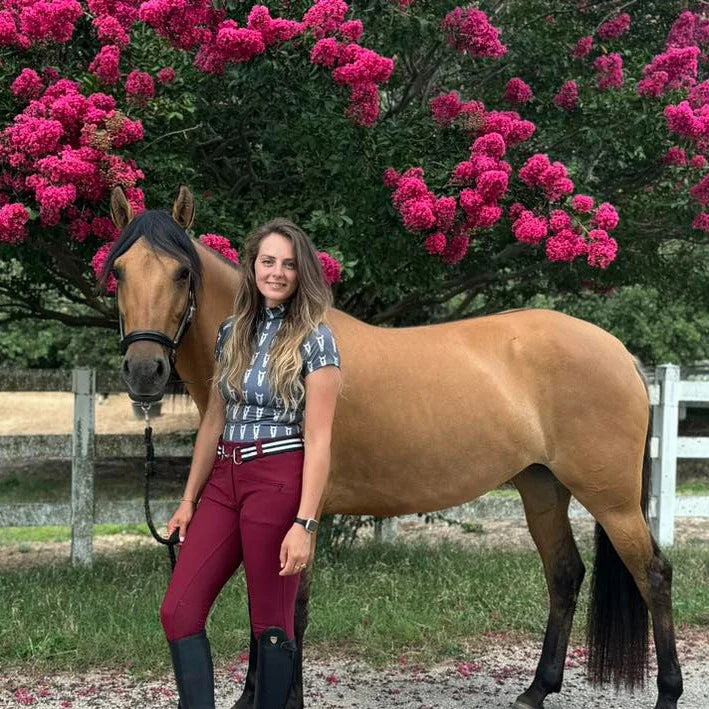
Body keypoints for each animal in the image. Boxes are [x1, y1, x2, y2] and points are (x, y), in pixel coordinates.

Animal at [105, 187, 680, 708]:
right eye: (120, 272)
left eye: (182, 273)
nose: (144, 371)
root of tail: (619, 352)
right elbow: (260, 607)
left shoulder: (301, 515)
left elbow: (290, 612)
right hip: (542, 487)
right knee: (564, 574)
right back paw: (536, 690)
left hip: (612, 501)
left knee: (653, 574)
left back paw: (667, 694)